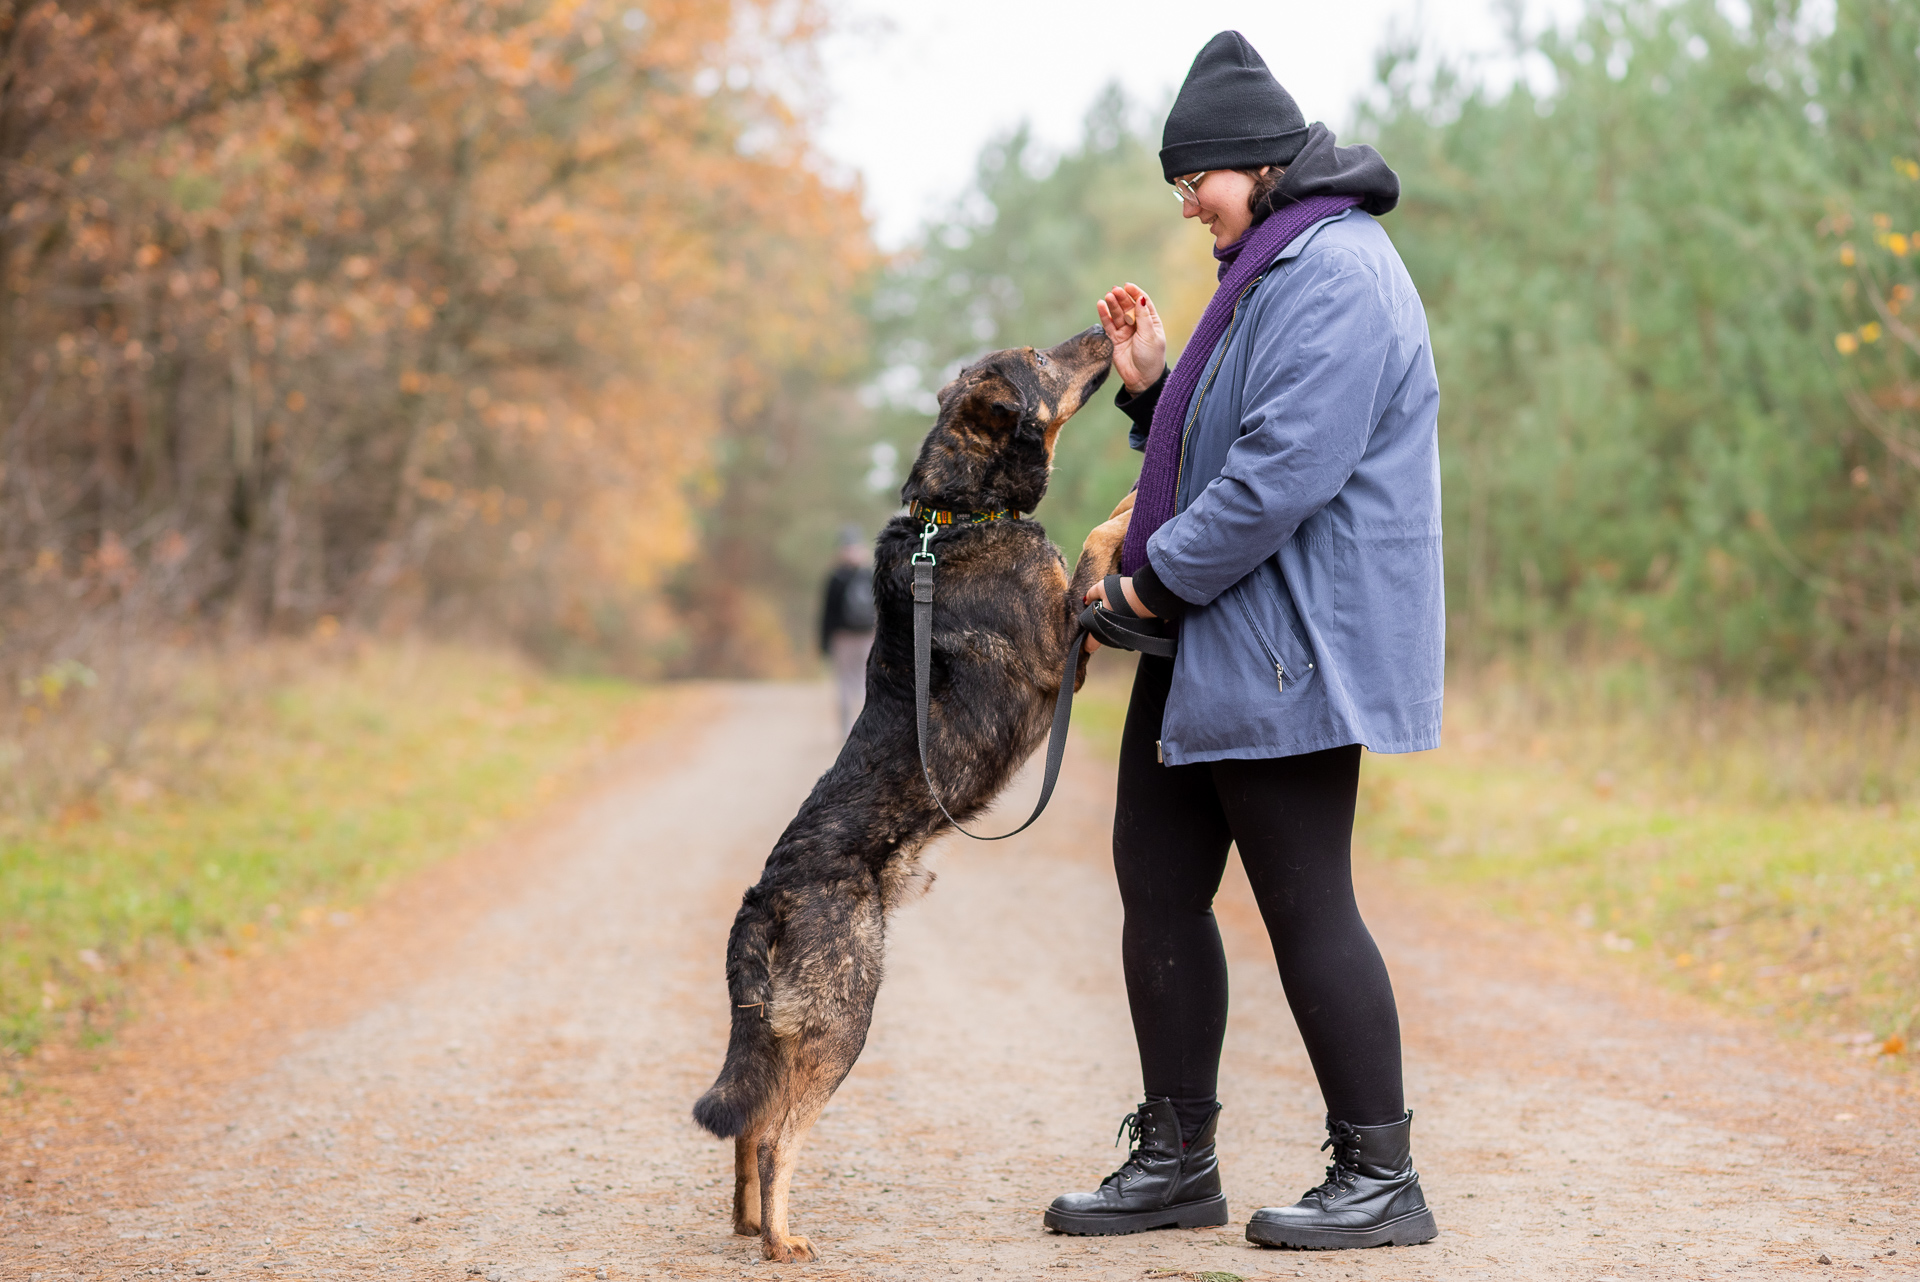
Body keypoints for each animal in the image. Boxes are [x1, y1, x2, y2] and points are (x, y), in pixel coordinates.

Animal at [695, 326, 1128, 1266]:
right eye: (1044, 355)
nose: (1103, 327)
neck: (958, 515)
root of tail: (764, 896)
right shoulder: (1065, 642)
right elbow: (1096, 541)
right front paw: (1127, 498)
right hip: (845, 1015)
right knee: (780, 1136)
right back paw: (782, 1238)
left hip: (779, 1026)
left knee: (750, 1123)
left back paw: (750, 1224)